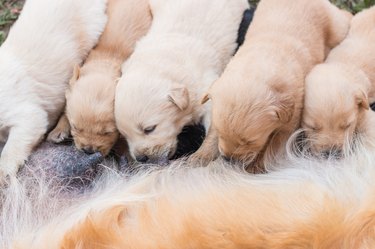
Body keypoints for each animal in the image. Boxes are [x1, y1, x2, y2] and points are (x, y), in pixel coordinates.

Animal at [114, 0, 250, 163]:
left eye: (149, 129)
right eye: (124, 134)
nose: (141, 158)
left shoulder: (206, 89)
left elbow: (214, 127)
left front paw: (201, 156)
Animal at [198, 0, 354, 171]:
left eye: (250, 142)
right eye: (222, 135)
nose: (228, 160)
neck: (260, 59)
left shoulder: (290, 121)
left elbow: (273, 147)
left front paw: (254, 168)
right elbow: (212, 133)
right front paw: (200, 156)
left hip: (335, 25)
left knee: (344, 18)